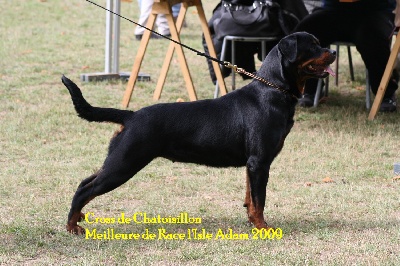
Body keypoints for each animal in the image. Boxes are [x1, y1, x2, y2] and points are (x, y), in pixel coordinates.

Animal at [62, 32, 336, 234]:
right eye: (313, 46)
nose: (333, 51)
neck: (273, 90)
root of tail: (130, 115)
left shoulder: (253, 163)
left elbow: (250, 196)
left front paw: (252, 222)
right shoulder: (260, 161)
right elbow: (260, 199)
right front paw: (262, 227)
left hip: (118, 159)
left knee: (84, 182)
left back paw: (77, 218)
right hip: (125, 162)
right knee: (86, 189)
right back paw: (72, 226)